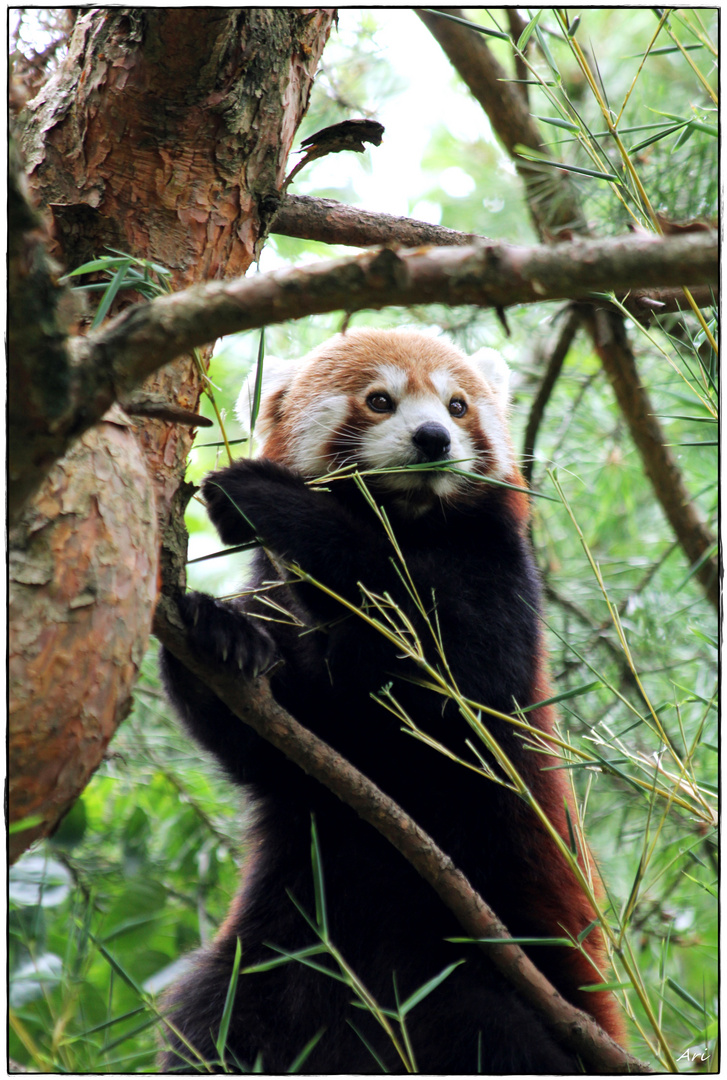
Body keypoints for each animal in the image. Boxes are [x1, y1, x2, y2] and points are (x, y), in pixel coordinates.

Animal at [159, 326, 622, 1071]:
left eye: (459, 406)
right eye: (380, 400)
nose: (433, 436)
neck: (406, 520)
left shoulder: (502, 581)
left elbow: (453, 673)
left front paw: (272, 503)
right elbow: (274, 741)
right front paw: (220, 629)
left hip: (502, 975)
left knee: (500, 1038)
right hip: (289, 951)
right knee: (219, 1016)